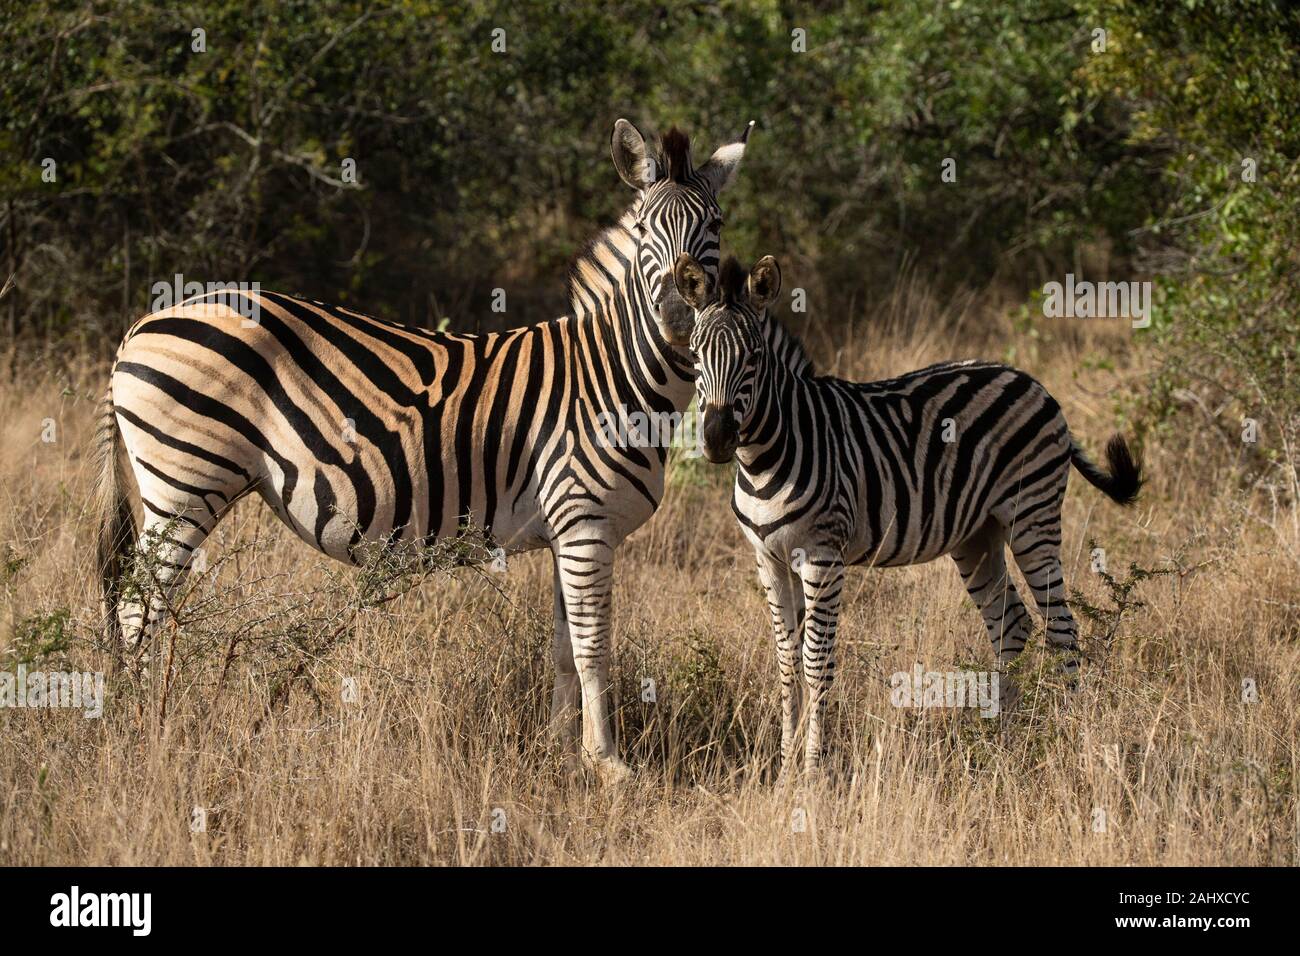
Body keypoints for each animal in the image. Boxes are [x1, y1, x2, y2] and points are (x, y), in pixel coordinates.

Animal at [92, 119, 751, 784]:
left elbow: (566, 649)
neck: (614, 374)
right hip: (185, 482)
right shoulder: (586, 522)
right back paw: (140, 733)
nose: (677, 314)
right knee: (136, 608)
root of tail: (145, 322)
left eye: (716, 225)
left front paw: (564, 755)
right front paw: (610, 766)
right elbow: (594, 648)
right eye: (644, 227)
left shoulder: (569, 531)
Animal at [672, 254, 1144, 775]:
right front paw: (784, 767)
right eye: (694, 354)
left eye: (753, 357)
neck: (765, 457)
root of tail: (1031, 380)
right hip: (977, 535)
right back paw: (1005, 738)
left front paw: (813, 769)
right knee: (1011, 623)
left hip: (1031, 515)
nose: (717, 439)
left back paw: (1065, 730)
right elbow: (785, 660)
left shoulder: (822, 555)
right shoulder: (768, 559)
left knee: (1061, 626)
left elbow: (816, 661)